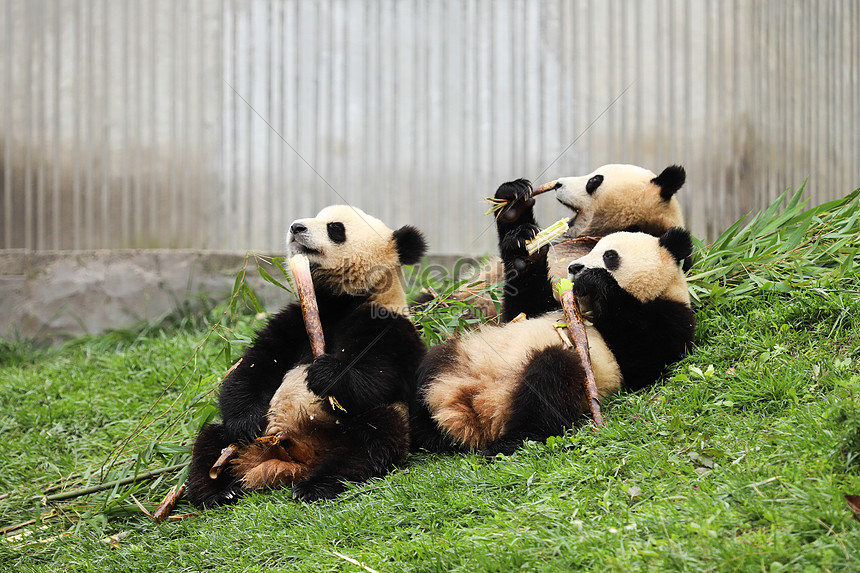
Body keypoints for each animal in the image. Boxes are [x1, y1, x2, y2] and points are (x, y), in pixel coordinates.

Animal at [406, 181, 696, 458]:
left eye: (609, 255)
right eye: (591, 247)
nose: (575, 267)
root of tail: (475, 411)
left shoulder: (671, 318)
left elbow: (645, 359)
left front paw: (597, 281)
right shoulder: (542, 305)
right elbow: (521, 306)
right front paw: (520, 229)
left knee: (550, 382)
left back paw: (508, 442)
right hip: (460, 355)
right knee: (429, 367)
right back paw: (424, 432)